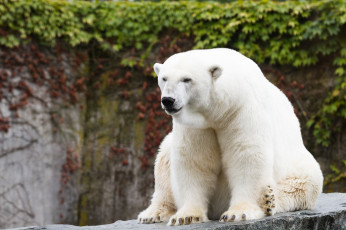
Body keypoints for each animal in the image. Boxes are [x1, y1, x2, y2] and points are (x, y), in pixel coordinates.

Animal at [137, 47, 324, 226]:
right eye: (164, 78)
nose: (168, 100)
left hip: (298, 164)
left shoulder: (242, 109)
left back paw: (268, 200)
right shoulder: (197, 126)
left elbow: (246, 154)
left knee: (303, 184)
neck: (219, 110)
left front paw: (238, 213)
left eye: (186, 79)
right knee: (164, 159)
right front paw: (186, 216)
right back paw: (152, 213)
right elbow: (194, 160)